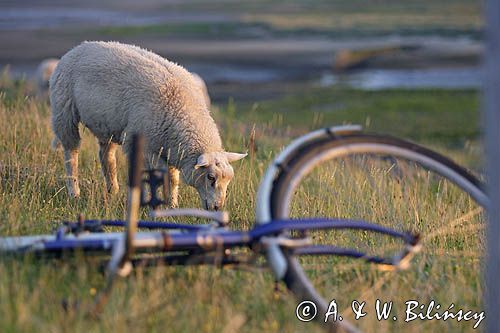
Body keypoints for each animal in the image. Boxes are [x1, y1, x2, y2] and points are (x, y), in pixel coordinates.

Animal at [49, 40, 245, 209]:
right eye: (211, 177)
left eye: (228, 180)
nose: (217, 207)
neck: (181, 109)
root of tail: (79, 47)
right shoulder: (142, 145)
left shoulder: (169, 147)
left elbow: (172, 178)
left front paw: (172, 205)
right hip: (64, 111)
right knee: (71, 154)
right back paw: (74, 192)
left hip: (108, 125)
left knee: (107, 157)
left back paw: (112, 191)